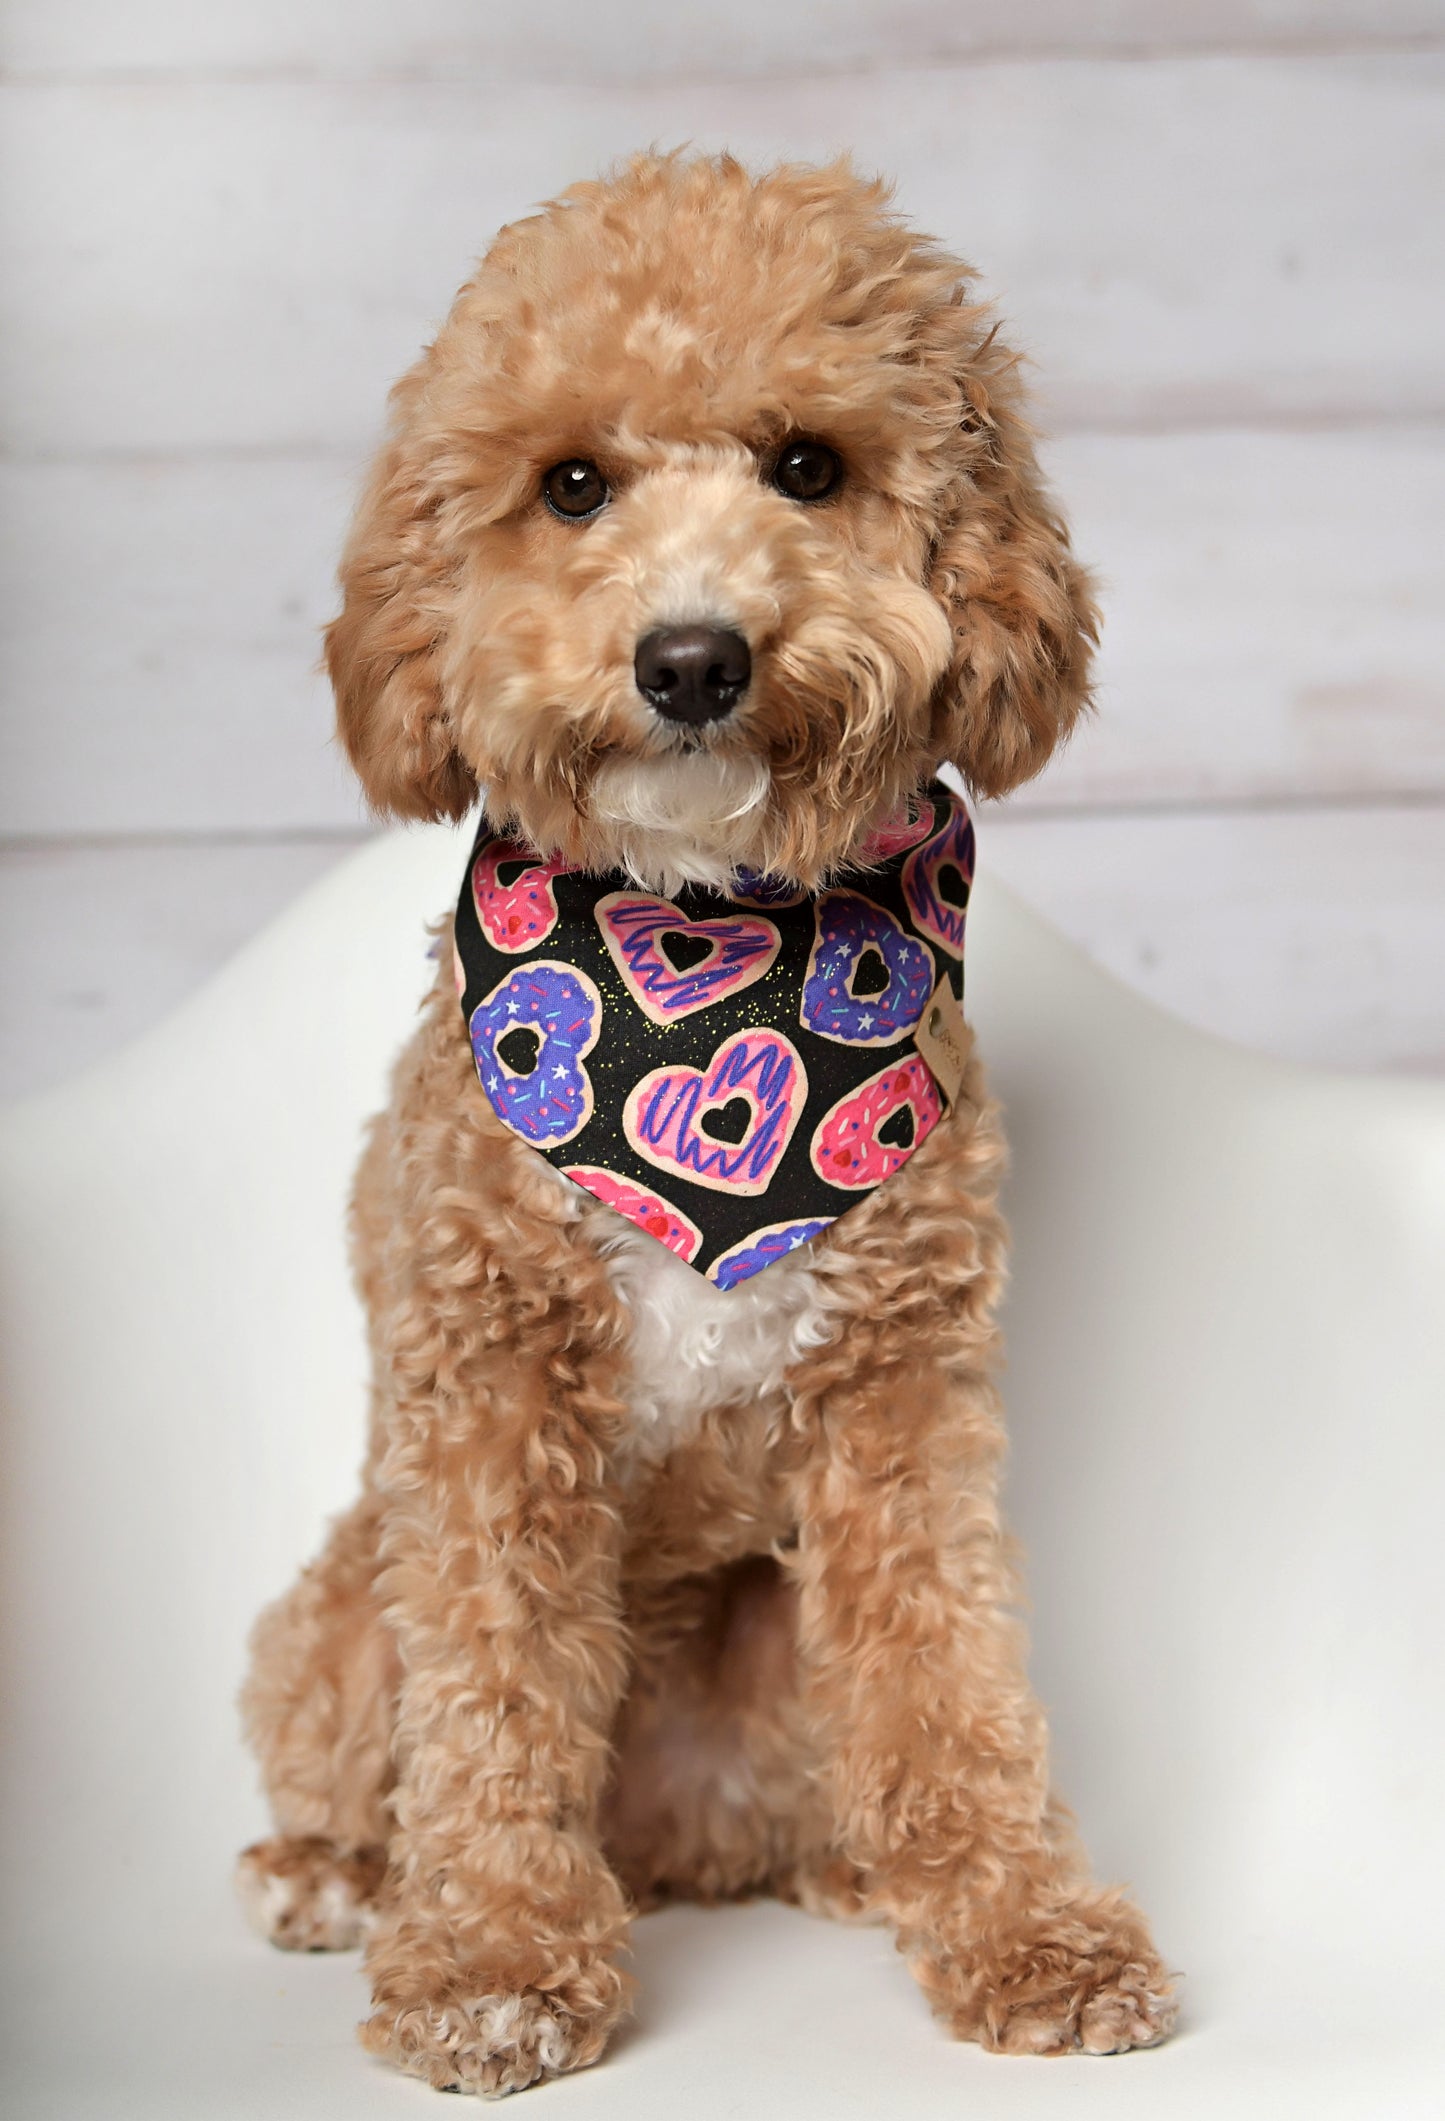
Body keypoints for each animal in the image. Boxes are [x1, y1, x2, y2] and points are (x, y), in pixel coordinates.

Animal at [236, 156, 1179, 2095]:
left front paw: (1028, 1931)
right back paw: (336, 1873)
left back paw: (855, 1873)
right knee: (374, 1737)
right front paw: (489, 1961)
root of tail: (664, 1844)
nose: (690, 658)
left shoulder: (899, 1406)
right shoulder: (489, 1388)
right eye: (570, 485)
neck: (701, 950)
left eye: (809, 465)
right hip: (345, 1599)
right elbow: (496, 1690)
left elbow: (952, 1681)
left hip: (778, 1642)